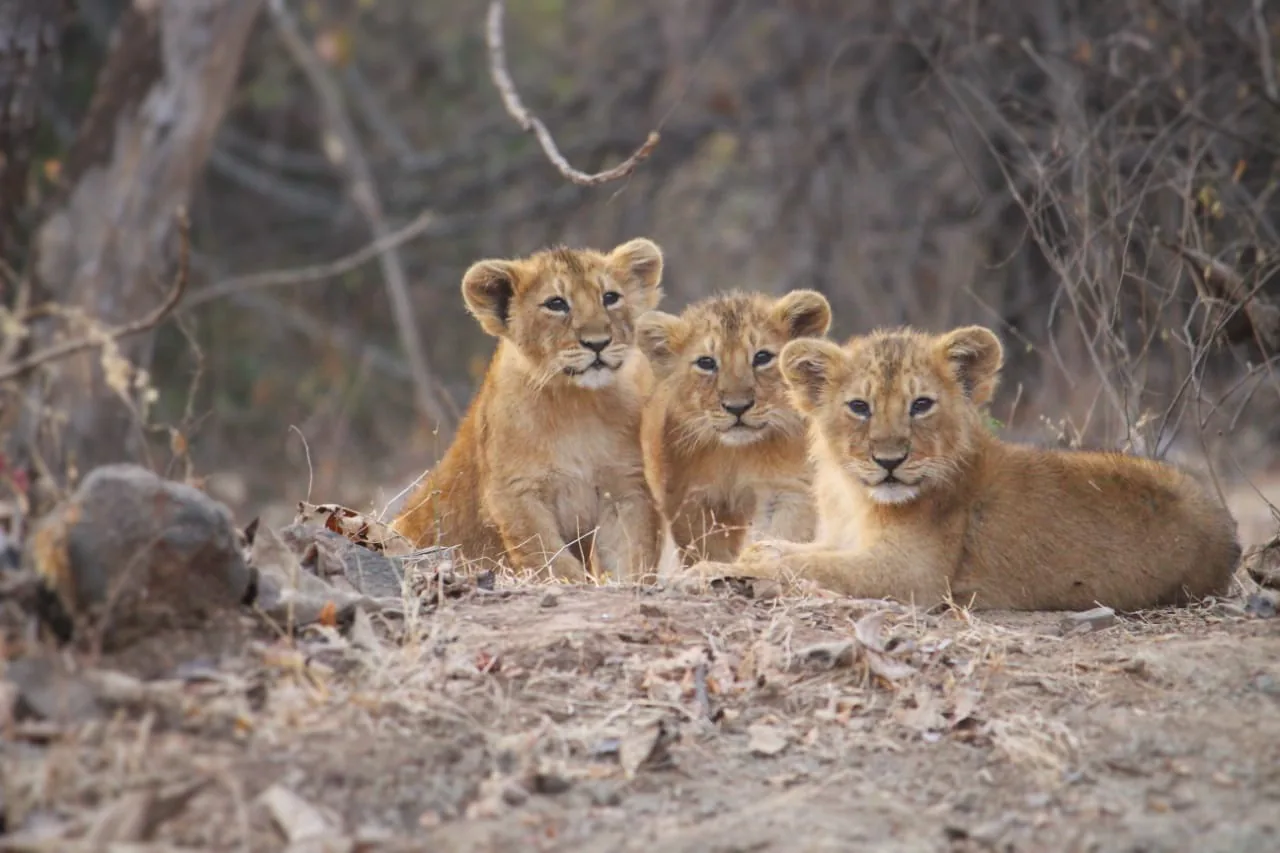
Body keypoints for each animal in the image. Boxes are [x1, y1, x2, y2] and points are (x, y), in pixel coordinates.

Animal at [391, 239, 667, 583]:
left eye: (610, 297)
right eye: (556, 304)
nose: (598, 343)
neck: (577, 404)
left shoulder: (624, 487)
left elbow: (631, 554)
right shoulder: (515, 493)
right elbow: (548, 557)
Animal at [636, 290, 832, 565]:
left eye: (762, 357)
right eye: (706, 362)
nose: (737, 407)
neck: (736, 454)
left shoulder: (785, 488)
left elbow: (780, 533)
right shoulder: (693, 499)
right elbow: (709, 549)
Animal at [683, 324, 1243, 611]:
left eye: (921, 405)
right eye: (860, 407)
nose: (889, 461)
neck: (855, 496)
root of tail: (1227, 529)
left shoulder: (913, 576)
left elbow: (806, 566)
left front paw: (714, 569)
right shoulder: (846, 540)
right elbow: (799, 551)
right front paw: (759, 549)